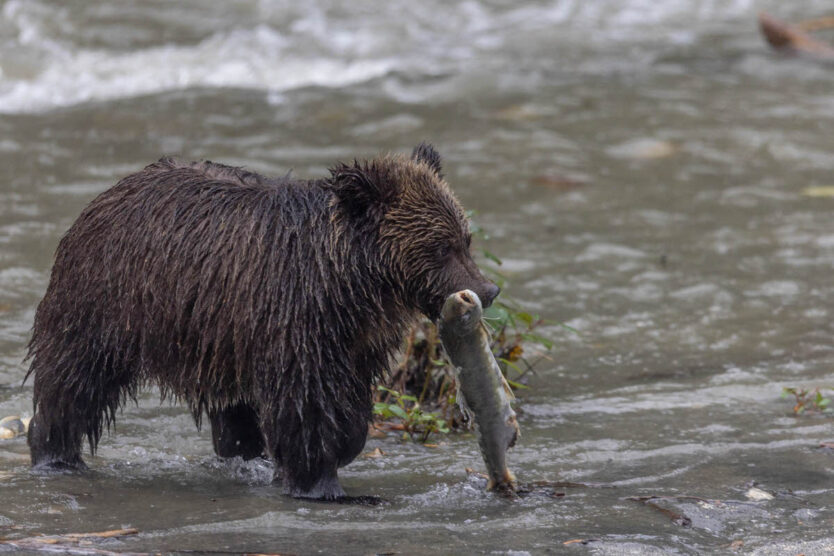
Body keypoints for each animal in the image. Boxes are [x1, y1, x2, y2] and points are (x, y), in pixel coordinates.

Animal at [26, 143, 498, 500]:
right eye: (440, 247)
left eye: (465, 238)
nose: (487, 289)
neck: (353, 282)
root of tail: (103, 197)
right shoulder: (295, 320)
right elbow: (307, 405)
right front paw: (319, 479)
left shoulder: (354, 339)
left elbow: (350, 401)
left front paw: (339, 448)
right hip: (107, 304)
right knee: (73, 382)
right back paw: (55, 454)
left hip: (217, 336)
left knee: (233, 411)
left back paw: (243, 455)